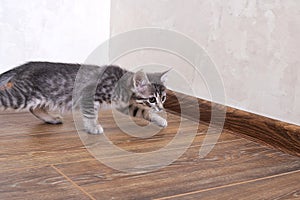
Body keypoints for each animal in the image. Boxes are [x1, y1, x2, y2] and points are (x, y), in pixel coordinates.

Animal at [0, 62, 169, 134]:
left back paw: (51, 119)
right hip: (22, 96)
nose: (161, 108)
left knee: (35, 108)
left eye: (163, 98)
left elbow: (142, 111)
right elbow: (90, 114)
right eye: (152, 99)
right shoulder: (89, 96)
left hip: (44, 96)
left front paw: (159, 119)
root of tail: (24, 66)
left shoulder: (124, 104)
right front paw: (92, 127)